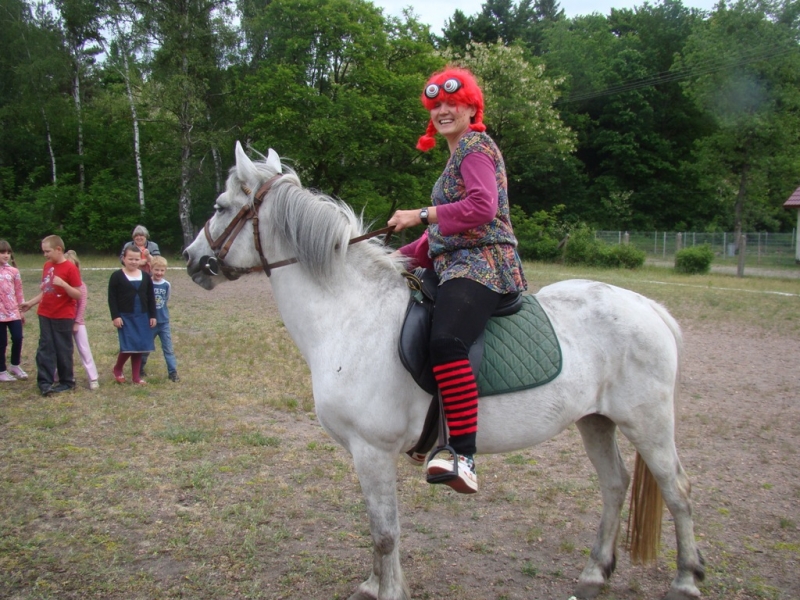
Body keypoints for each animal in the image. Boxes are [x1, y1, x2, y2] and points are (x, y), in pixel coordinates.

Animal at [184, 143, 704, 596]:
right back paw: (596, 573)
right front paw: (374, 585)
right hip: (595, 421)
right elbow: (378, 530)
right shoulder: (365, 455)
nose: (191, 259)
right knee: (615, 484)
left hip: (648, 423)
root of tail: (648, 306)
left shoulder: (372, 451)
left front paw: (388, 592)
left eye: (219, 205)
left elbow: (385, 533)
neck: (350, 313)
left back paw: (686, 578)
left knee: (677, 489)